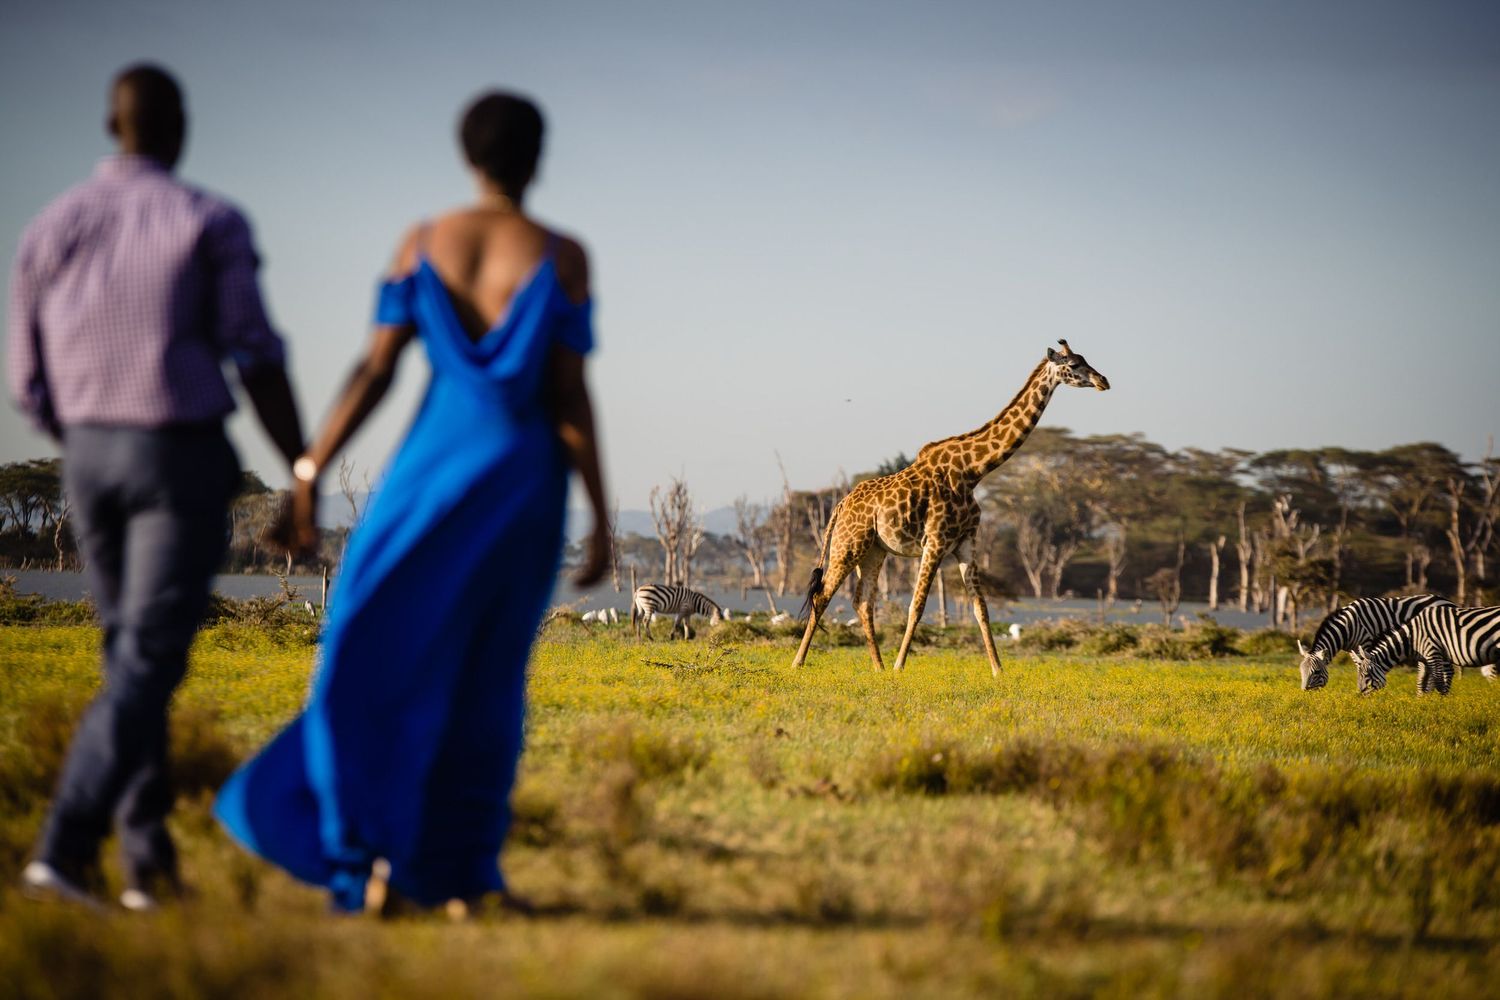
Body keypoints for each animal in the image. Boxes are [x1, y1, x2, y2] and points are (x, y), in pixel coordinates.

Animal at [791, 340, 1110, 676]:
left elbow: (980, 608)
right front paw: (900, 667)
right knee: (823, 594)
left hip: (874, 550)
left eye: (1085, 359)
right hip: (847, 545)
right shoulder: (936, 541)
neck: (973, 471)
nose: (1103, 381)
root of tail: (841, 504)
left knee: (862, 602)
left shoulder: (966, 541)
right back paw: (799, 662)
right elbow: (917, 606)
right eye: (1073, 365)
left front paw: (998, 670)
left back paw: (878, 667)